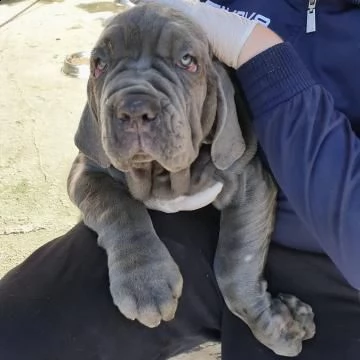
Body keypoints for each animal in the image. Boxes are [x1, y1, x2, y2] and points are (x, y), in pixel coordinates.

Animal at [67, 3, 316, 358]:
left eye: (188, 61)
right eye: (99, 63)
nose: (134, 108)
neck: (164, 176)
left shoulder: (249, 182)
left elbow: (235, 263)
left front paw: (279, 328)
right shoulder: (87, 170)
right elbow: (117, 206)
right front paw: (146, 281)